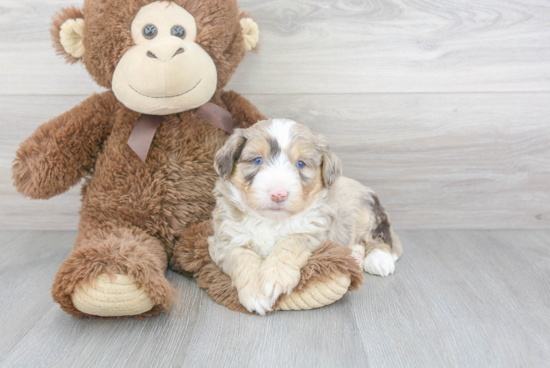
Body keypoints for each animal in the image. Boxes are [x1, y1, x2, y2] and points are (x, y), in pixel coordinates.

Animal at [209, 119, 404, 314]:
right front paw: (255, 293)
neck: (271, 220)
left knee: (380, 236)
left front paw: (274, 278)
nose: (278, 194)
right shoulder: (223, 240)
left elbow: (290, 242)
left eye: (301, 164)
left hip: (369, 213)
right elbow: (241, 257)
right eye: (257, 160)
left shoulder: (316, 231)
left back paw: (379, 259)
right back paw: (356, 254)